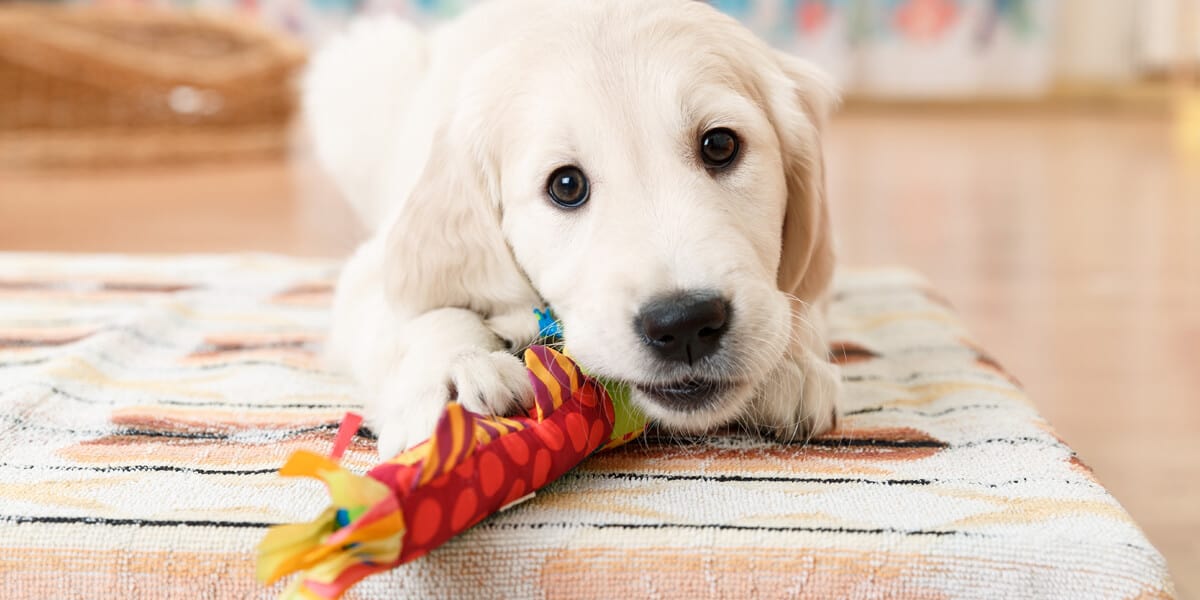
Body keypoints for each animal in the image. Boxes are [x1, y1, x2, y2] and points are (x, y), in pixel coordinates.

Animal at [304, 0, 840, 458]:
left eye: (720, 145)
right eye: (566, 185)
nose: (685, 322)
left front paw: (792, 363)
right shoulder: (371, 271)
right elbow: (423, 311)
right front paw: (455, 374)